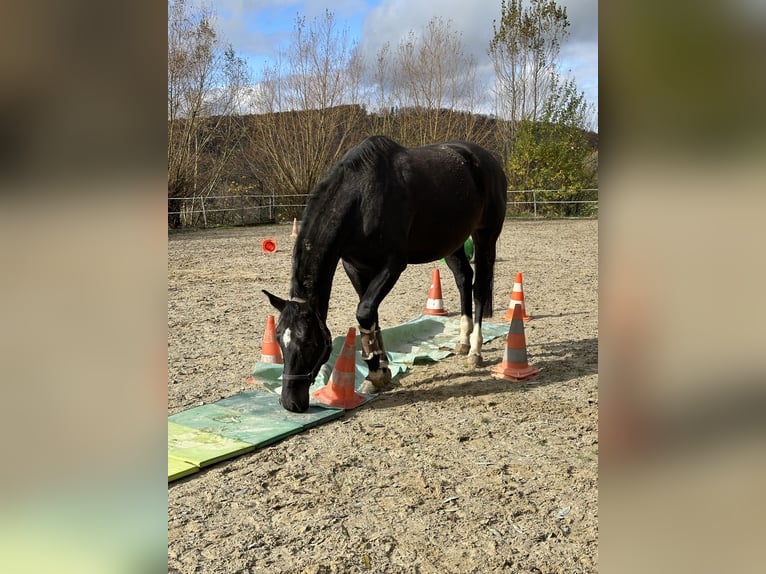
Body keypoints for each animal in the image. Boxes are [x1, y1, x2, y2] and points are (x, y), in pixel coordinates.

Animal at [264, 135, 507, 412]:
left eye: (310, 342)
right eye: (279, 339)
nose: (290, 403)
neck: (362, 199)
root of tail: (486, 160)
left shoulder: (392, 265)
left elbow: (364, 312)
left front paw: (377, 374)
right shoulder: (355, 267)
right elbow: (371, 316)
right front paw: (379, 370)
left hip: (485, 236)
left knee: (480, 288)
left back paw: (475, 351)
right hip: (453, 243)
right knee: (464, 279)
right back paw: (463, 342)